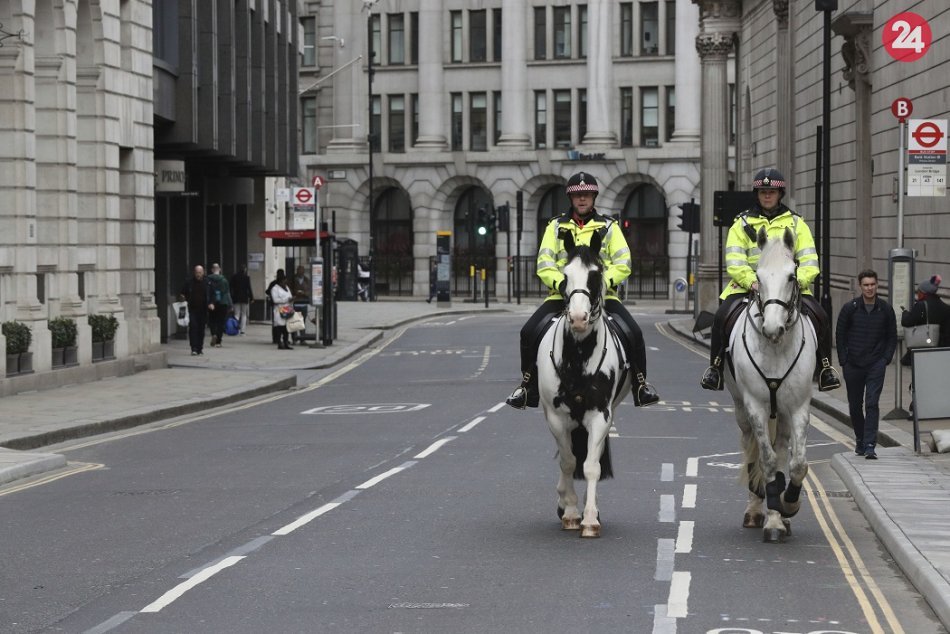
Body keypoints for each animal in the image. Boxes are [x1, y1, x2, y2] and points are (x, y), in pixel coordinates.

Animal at [536, 230, 632, 536]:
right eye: (565, 275)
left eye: (596, 274)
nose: (578, 318)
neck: (578, 356)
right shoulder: (556, 417)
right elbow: (568, 462)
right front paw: (569, 511)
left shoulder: (600, 415)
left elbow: (591, 465)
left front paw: (590, 518)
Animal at [724, 228, 816, 544]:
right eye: (759, 276)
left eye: (791, 275)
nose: (773, 328)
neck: (776, 348)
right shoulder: (755, 406)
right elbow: (767, 460)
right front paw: (774, 517)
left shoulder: (799, 407)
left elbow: (797, 463)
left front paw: (788, 505)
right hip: (742, 410)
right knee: (752, 451)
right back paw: (756, 510)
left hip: (784, 413)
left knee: (783, 446)